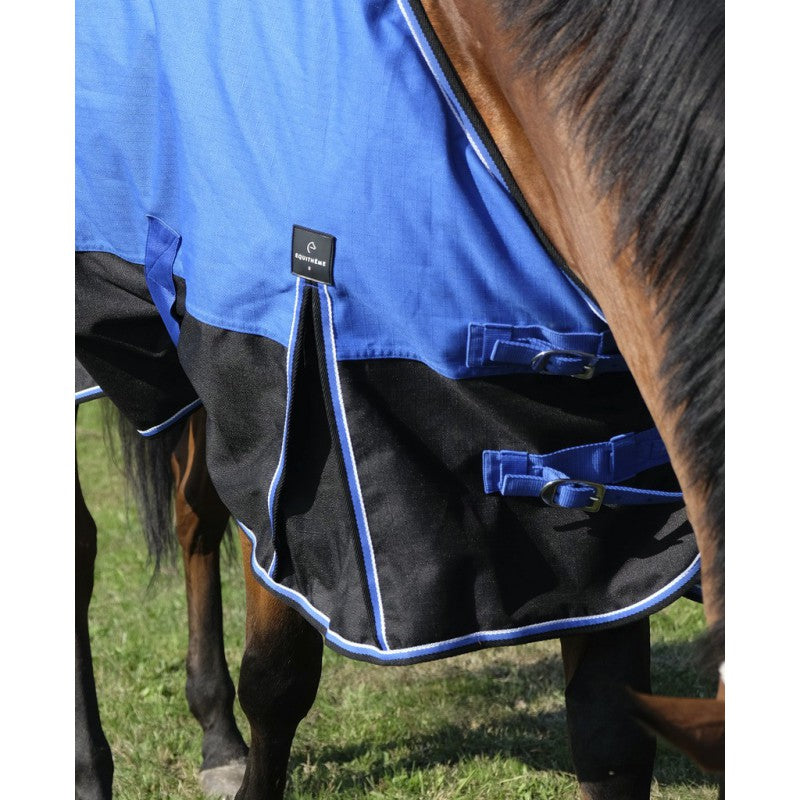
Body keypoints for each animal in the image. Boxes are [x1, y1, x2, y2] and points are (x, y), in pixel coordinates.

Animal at [75, 1, 723, 798]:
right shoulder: (288, 410)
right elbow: (278, 681)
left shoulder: (597, 479)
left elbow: (609, 734)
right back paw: (89, 769)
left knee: (193, 514)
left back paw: (216, 737)